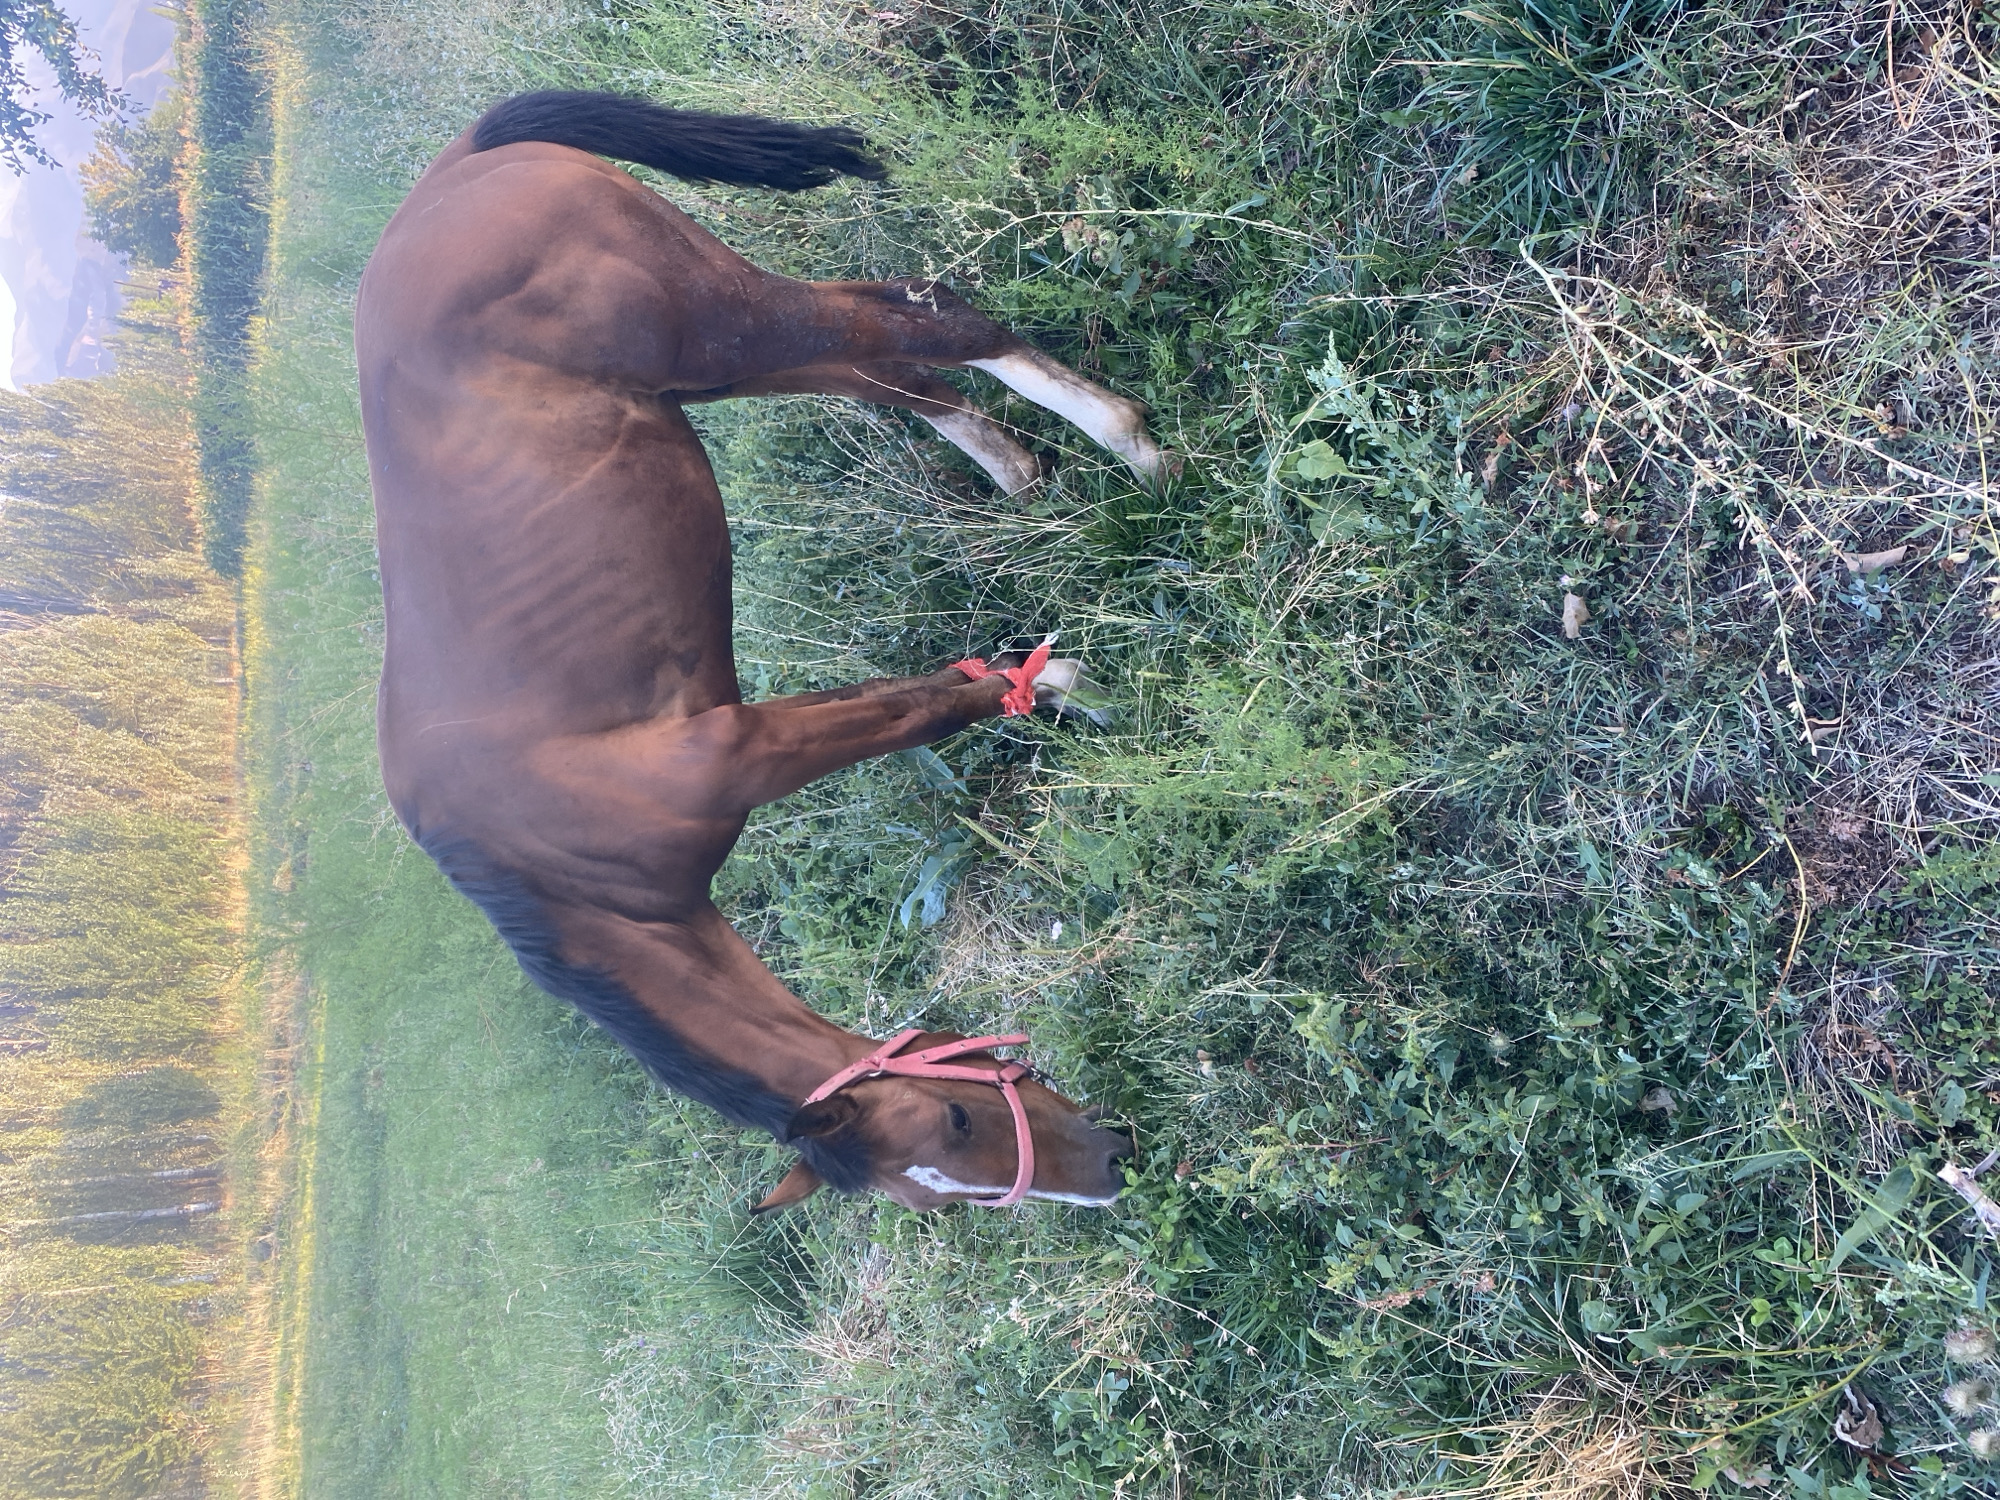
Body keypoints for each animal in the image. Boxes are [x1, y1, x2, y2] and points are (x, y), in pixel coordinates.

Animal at [355, 91, 1155, 1212]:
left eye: (956, 1120)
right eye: (938, 1171)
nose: (1108, 1170)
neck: (556, 865)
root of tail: (454, 170)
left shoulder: (742, 749)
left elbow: (924, 707)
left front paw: (1068, 686)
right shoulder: (757, 725)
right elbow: (912, 691)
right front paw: (1059, 683)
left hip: (714, 324)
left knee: (918, 315)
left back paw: (1127, 440)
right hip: (719, 365)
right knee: (886, 367)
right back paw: (1016, 465)